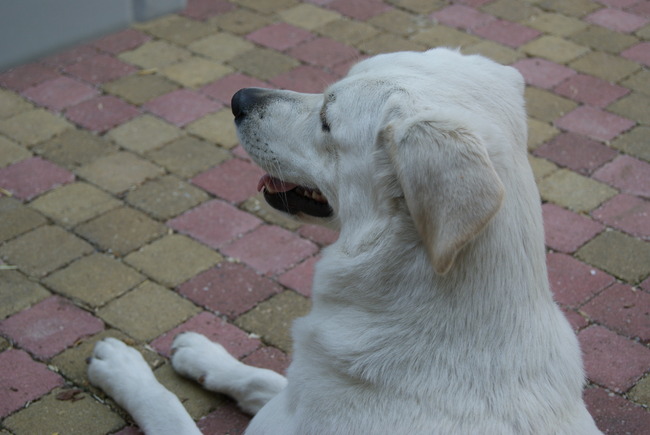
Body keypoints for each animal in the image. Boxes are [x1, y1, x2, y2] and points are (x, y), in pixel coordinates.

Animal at [88, 48, 601, 434]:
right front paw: (207, 356)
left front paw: (124, 371)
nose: (239, 97)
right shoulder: (294, 391)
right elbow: (266, 377)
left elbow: (168, 409)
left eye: (327, 121)